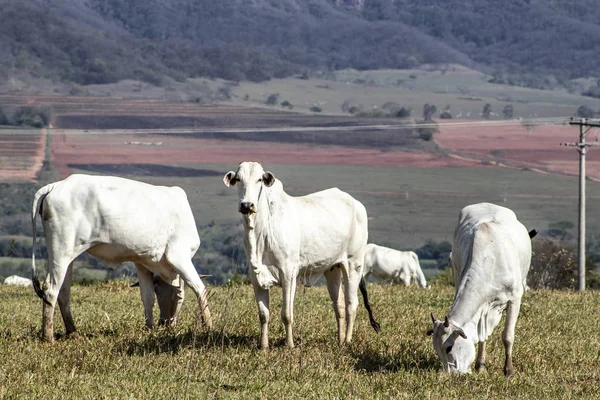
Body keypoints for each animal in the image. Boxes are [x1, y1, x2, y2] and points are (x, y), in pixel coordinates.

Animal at [31, 173, 213, 342]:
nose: (164, 323)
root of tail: (56, 185)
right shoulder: (179, 256)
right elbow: (199, 288)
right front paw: (208, 327)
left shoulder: (143, 263)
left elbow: (147, 297)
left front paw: (150, 328)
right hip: (61, 251)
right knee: (50, 290)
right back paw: (48, 337)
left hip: (67, 256)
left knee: (64, 292)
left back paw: (73, 332)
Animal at [223, 162, 378, 350]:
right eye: (238, 179)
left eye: (259, 179)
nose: (247, 205)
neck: (262, 231)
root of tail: (356, 204)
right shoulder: (255, 275)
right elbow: (263, 314)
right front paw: (264, 346)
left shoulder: (288, 273)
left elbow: (286, 314)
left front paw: (289, 345)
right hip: (333, 268)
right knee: (339, 305)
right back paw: (340, 341)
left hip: (354, 263)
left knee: (351, 304)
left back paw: (347, 341)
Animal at [426, 203, 536, 376]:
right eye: (437, 350)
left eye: (449, 348)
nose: (451, 375)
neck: (490, 259)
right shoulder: (482, 309)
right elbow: (482, 337)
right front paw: (481, 365)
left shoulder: (515, 298)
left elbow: (508, 336)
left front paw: (509, 370)